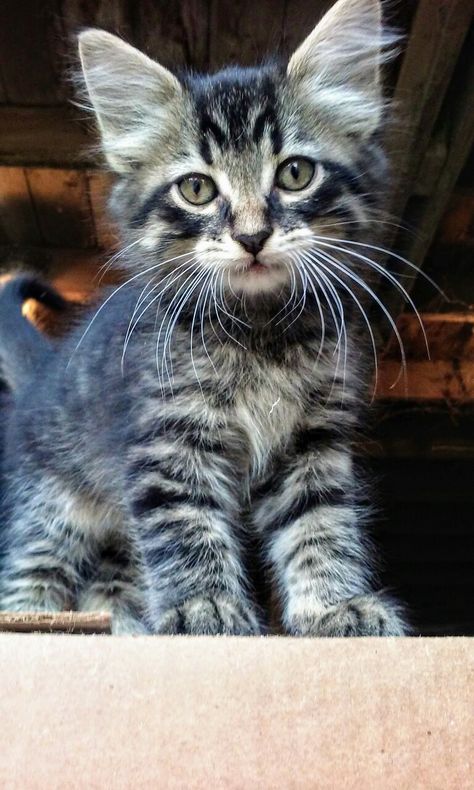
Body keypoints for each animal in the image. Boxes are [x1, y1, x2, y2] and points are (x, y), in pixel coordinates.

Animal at [0, 0, 408, 636]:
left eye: (295, 174)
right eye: (196, 188)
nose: (252, 236)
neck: (260, 330)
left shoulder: (312, 443)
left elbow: (319, 525)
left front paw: (334, 606)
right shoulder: (168, 441)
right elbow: (185, 529)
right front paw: (204, 608)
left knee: (108, 581)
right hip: (51, 502)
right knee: (33, 568)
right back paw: (35, 619)